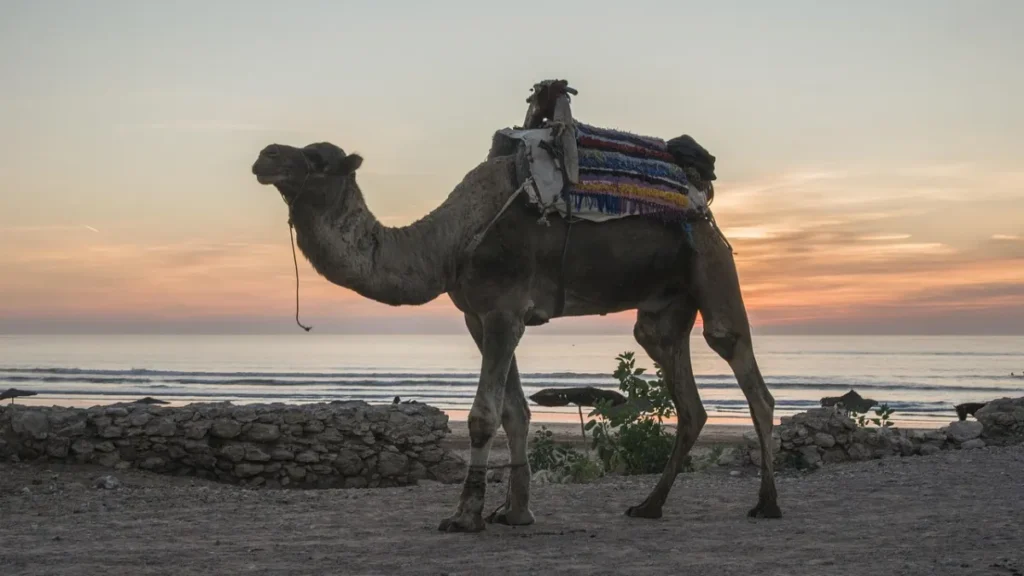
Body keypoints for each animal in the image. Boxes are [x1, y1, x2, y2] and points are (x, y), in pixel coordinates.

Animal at [250, 99, 780, 533]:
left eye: (317, 158)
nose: (265, 155)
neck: (450, 241)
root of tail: (702, 201)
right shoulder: (480, 316)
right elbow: (516, 413)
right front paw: (515, 512)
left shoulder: (504, 311)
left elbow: (484, 416)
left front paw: (466, 515)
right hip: (663, 308)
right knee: (683, 391)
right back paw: (649, 506)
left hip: (711, 263)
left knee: (742, 365)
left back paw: (767, 503)